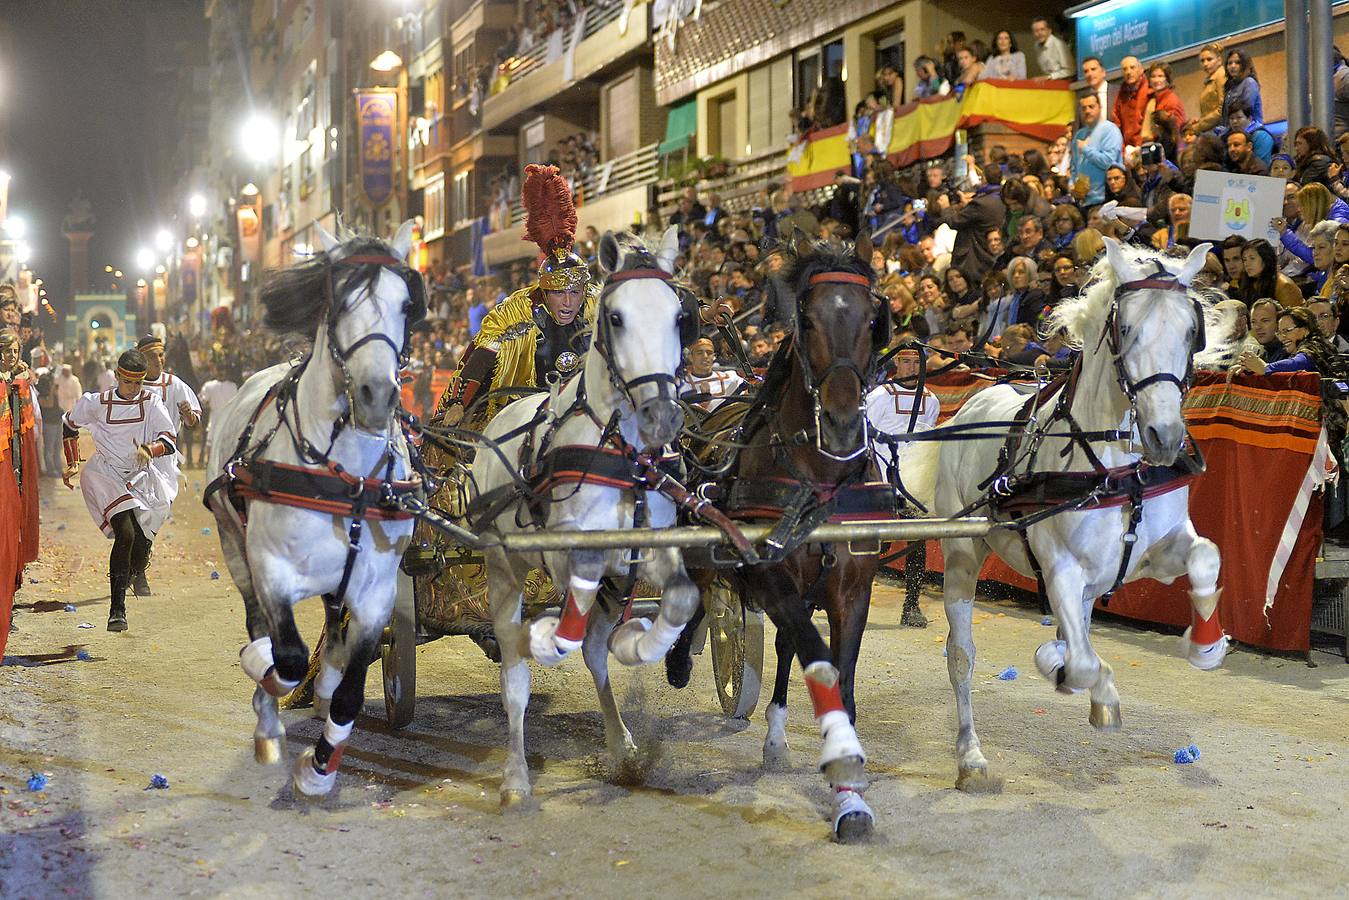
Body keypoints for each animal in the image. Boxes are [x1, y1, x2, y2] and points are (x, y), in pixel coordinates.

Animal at [201, 223, 415, 793]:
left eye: (407, 304)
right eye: (339, 302)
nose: (377, 394)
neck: (347, 479)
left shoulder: (377, 593)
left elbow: (351, 693)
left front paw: (320, 767)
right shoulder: (271, 568)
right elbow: (290, 657)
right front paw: (267, 682)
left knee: (333, 628)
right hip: (232, 542)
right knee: (259, 621)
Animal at [472, 226, 701, 809]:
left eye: (679, 316)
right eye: (615, 317)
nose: (662, 415)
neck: (619, 450)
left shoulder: (651, 548)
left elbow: (680, 600)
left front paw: (638, 644)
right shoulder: (569, 552)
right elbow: (565, 625)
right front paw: (547, 639)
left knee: (595, 654)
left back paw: (621, 744)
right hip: (503, 566)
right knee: (514, 672)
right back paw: (516, 775)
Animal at [669, 230, 890, 836]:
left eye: (872, 320)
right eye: (806, 321)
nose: (841, 422)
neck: (818, 482)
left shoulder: (852, 590)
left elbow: (841, 678)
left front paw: (850, 794)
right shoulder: (770, 573)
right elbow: (813, 656)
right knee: (702, 594)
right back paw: (680, 660)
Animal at [938, 241, 1235, 793]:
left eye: (1192, 330)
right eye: (1126, 328)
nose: (1163, 435)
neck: (1116, 469)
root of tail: (974, 399)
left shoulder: (1157, 555)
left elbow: (1207, 556)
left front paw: (1206, 645)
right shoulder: (1060, 567)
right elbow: (1078, 664)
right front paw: (1082, 681)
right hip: (964, 553)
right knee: (961, 655)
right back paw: (971, 757)